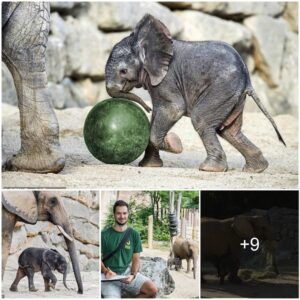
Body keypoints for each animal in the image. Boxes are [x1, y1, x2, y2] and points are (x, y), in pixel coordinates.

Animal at [106, 14, 286, 173]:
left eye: (123, 71)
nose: (146, 108)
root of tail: (248, 79)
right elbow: (157, 114)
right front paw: (150, 166)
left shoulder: (168, 79)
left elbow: (173, 109)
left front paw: (175, 143)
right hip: (234, 95)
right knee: (229, 131)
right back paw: (256, 169)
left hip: (222, 89)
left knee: (202, 120)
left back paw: (210, 169)